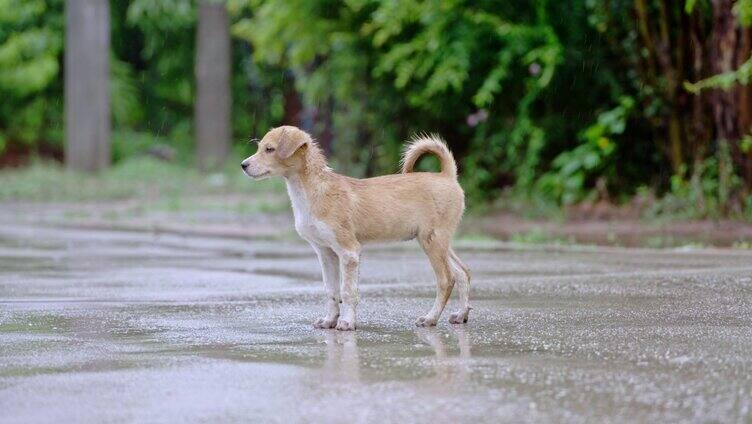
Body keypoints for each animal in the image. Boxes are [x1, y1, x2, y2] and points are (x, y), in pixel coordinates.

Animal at [241, 126, 470, 332]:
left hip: (432, 242)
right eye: (260, 147)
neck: (313, 191)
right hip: (439, 242)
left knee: (446, 280)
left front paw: (347, 322)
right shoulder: (325, 253)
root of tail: (447, 175)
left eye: (270, 149)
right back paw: (461, 315)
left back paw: (431, 318)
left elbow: (348, 291)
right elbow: (331, 291)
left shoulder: (348, 251)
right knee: (462, 273)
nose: (243, 165)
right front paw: (329, 321)